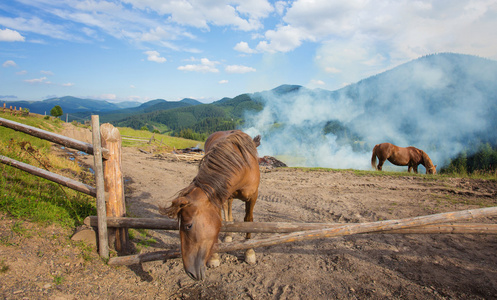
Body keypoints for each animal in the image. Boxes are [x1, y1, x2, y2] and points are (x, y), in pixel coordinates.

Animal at [160, 130, 262, 280]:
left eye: (188, 226)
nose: (190, 272)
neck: (242, 165)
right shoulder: (218, 198)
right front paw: (214, 257)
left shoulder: (253, 196)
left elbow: (249, 221)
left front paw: (249, 252)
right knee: (227, 210)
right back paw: (228, 235)